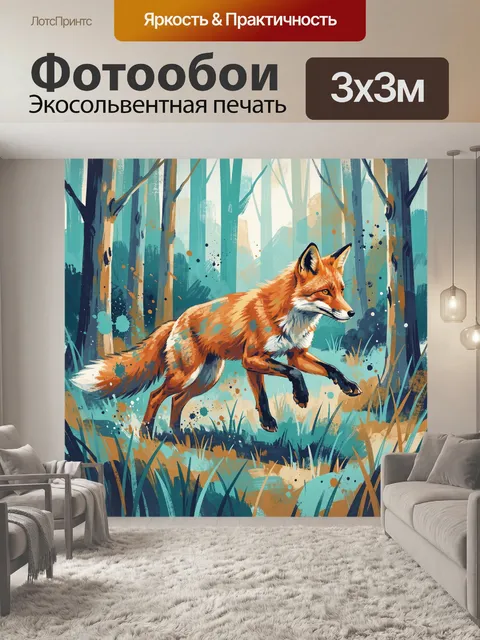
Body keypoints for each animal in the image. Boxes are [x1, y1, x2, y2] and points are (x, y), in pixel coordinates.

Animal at [72, 242, 361, 438]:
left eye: (341, 290)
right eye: (325, 292)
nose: (351, 313)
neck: (291, 318)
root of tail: (177, 319)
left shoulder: (295, 354)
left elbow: (328, 369)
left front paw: (347, 386)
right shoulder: (252, 358)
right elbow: (287, 378)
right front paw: (299, 397)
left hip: (206, 379)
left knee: (177, 401)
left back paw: (178, 435)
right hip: (185, 375)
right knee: (156, 396)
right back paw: (146, 432)